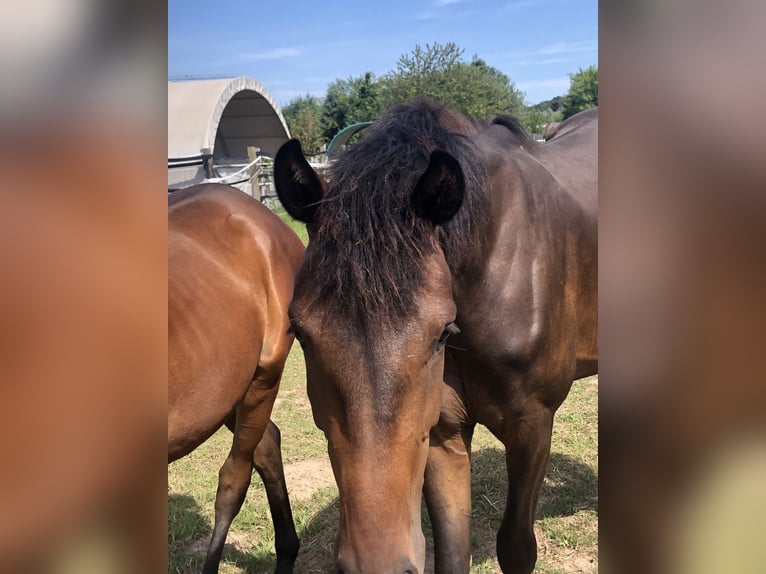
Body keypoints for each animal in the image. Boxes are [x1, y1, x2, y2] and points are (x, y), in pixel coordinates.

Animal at [276, 103, 600, 574]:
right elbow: (452, 551)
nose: (378, 563)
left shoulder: (532, 427)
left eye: (441, 333)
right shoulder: (441, 434)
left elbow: (517, 547)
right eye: (299, 332)